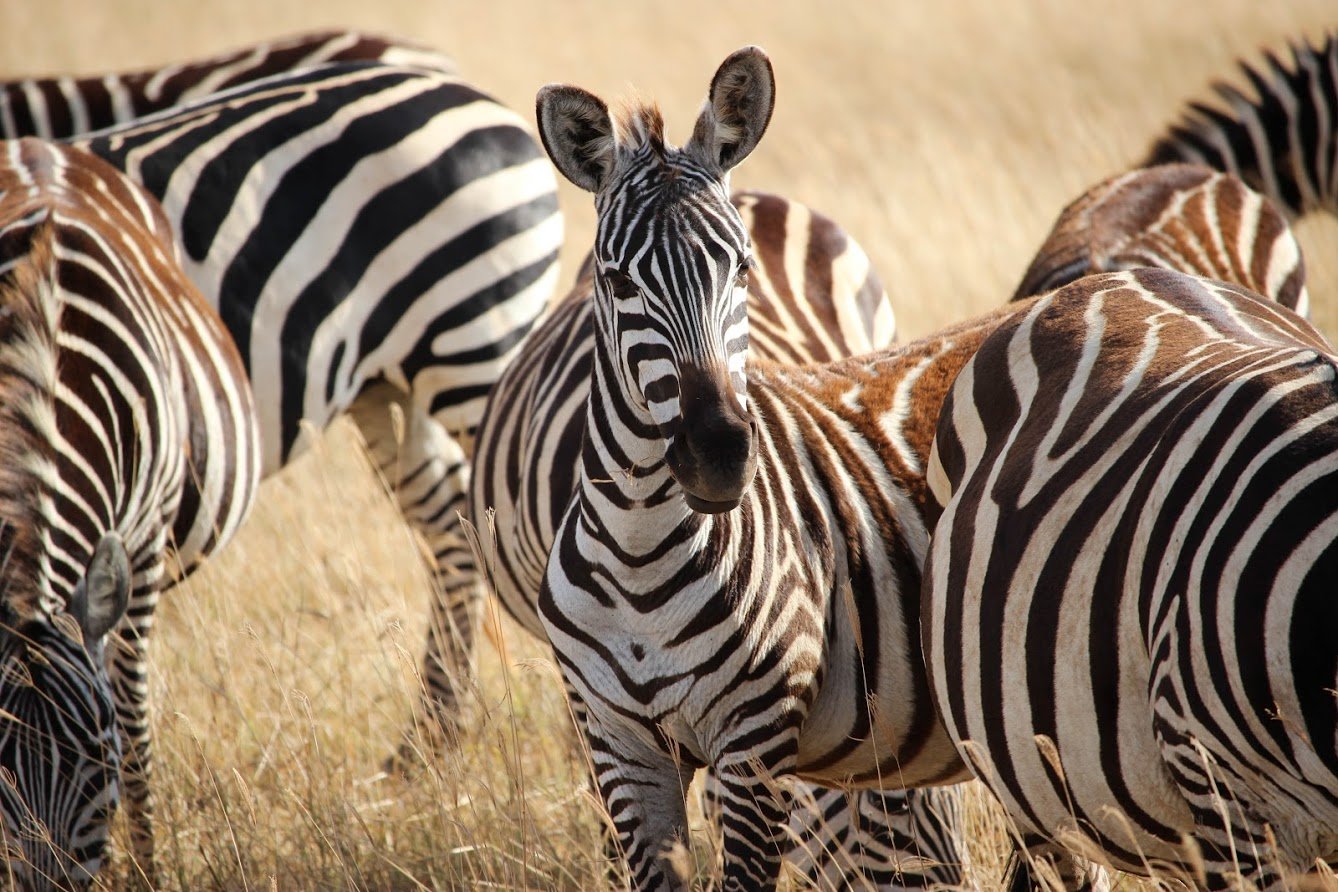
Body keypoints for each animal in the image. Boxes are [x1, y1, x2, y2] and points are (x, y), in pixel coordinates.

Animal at [0, 136, 260, 887]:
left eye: (99, 761)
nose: (48, 887)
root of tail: (35, 145)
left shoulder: (143, 546)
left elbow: (137, 712)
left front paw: (147, 868)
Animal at [529, 50, 984, 892]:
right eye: (618, 281)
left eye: (740, 268)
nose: (717, 455)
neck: (639, 551)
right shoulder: (620, 748)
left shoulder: (753, 746)